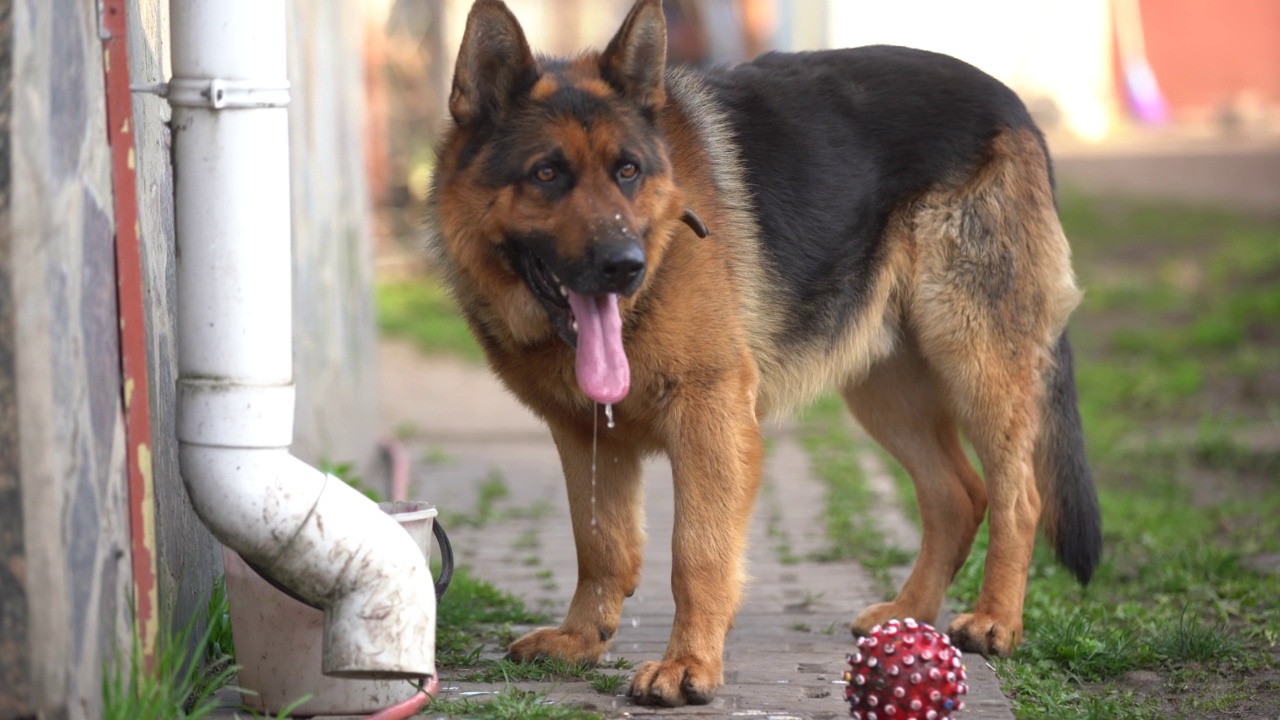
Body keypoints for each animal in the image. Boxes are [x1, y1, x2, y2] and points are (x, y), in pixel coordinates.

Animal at [427, 0, 1100, 707]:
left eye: (628, 171)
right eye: (547, 173)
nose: (625, 267)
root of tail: (1013, 104)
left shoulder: (712, 416)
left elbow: (696, 551)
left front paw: (688, 664)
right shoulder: (587, 435)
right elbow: (601, 544)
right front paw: (583, 640)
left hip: (974, 359)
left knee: (1017, 497)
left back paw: (996, 619)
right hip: (886, 391)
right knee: (958, 495)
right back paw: (908, 612)